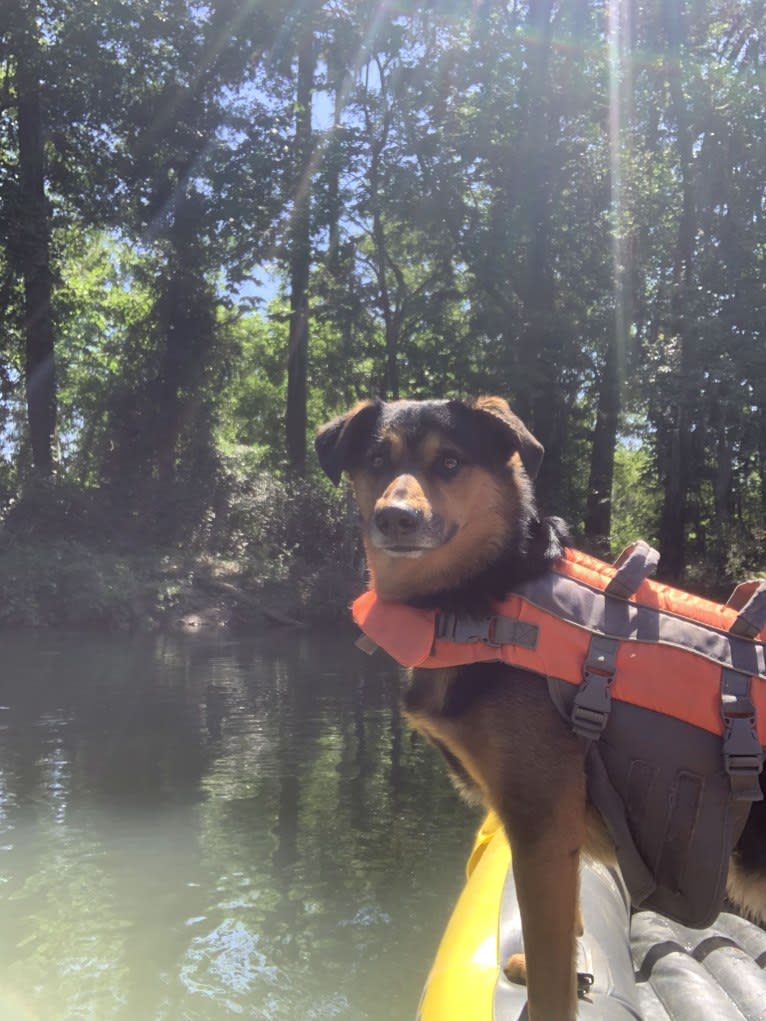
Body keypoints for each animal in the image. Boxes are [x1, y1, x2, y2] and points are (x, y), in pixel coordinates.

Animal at [312, 394, 766, 1016]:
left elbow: (552, 970)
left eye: (450, 462)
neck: (482, 598)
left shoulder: (540, 824)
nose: (395, 518)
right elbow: (568, 928)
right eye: (377, 460)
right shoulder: (550, 831)